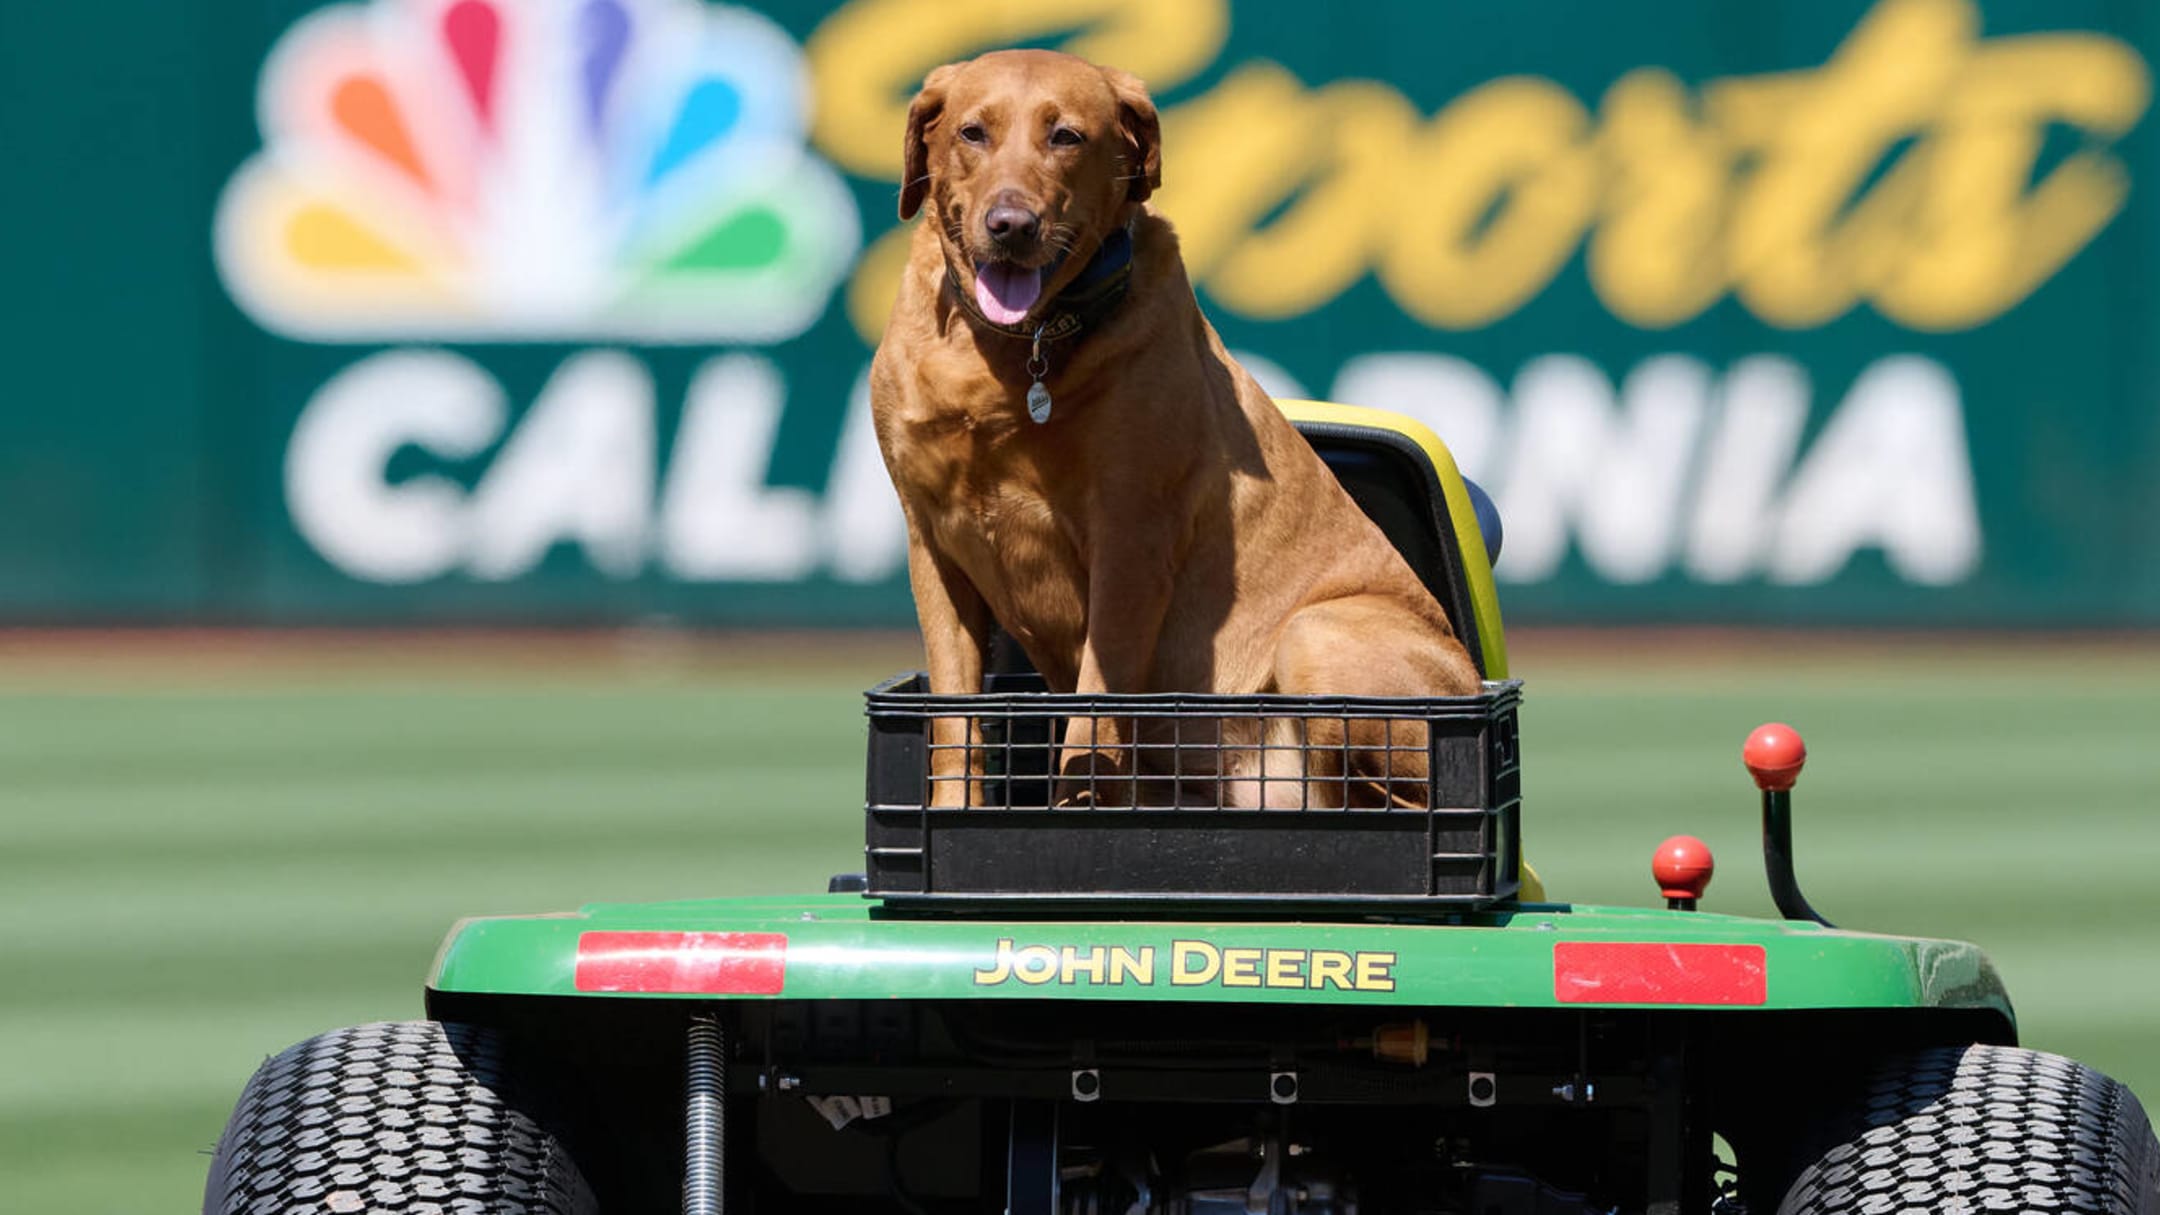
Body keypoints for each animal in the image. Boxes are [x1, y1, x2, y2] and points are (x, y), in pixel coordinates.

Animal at [864, 49, 1486, 804]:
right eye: (972, 132)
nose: (1012, 224)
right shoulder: (935, 546)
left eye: (1066, 136)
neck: (1021, 350)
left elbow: (1090, 725)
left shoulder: (1129, 544)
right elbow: (955, 726)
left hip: (1316, 635)